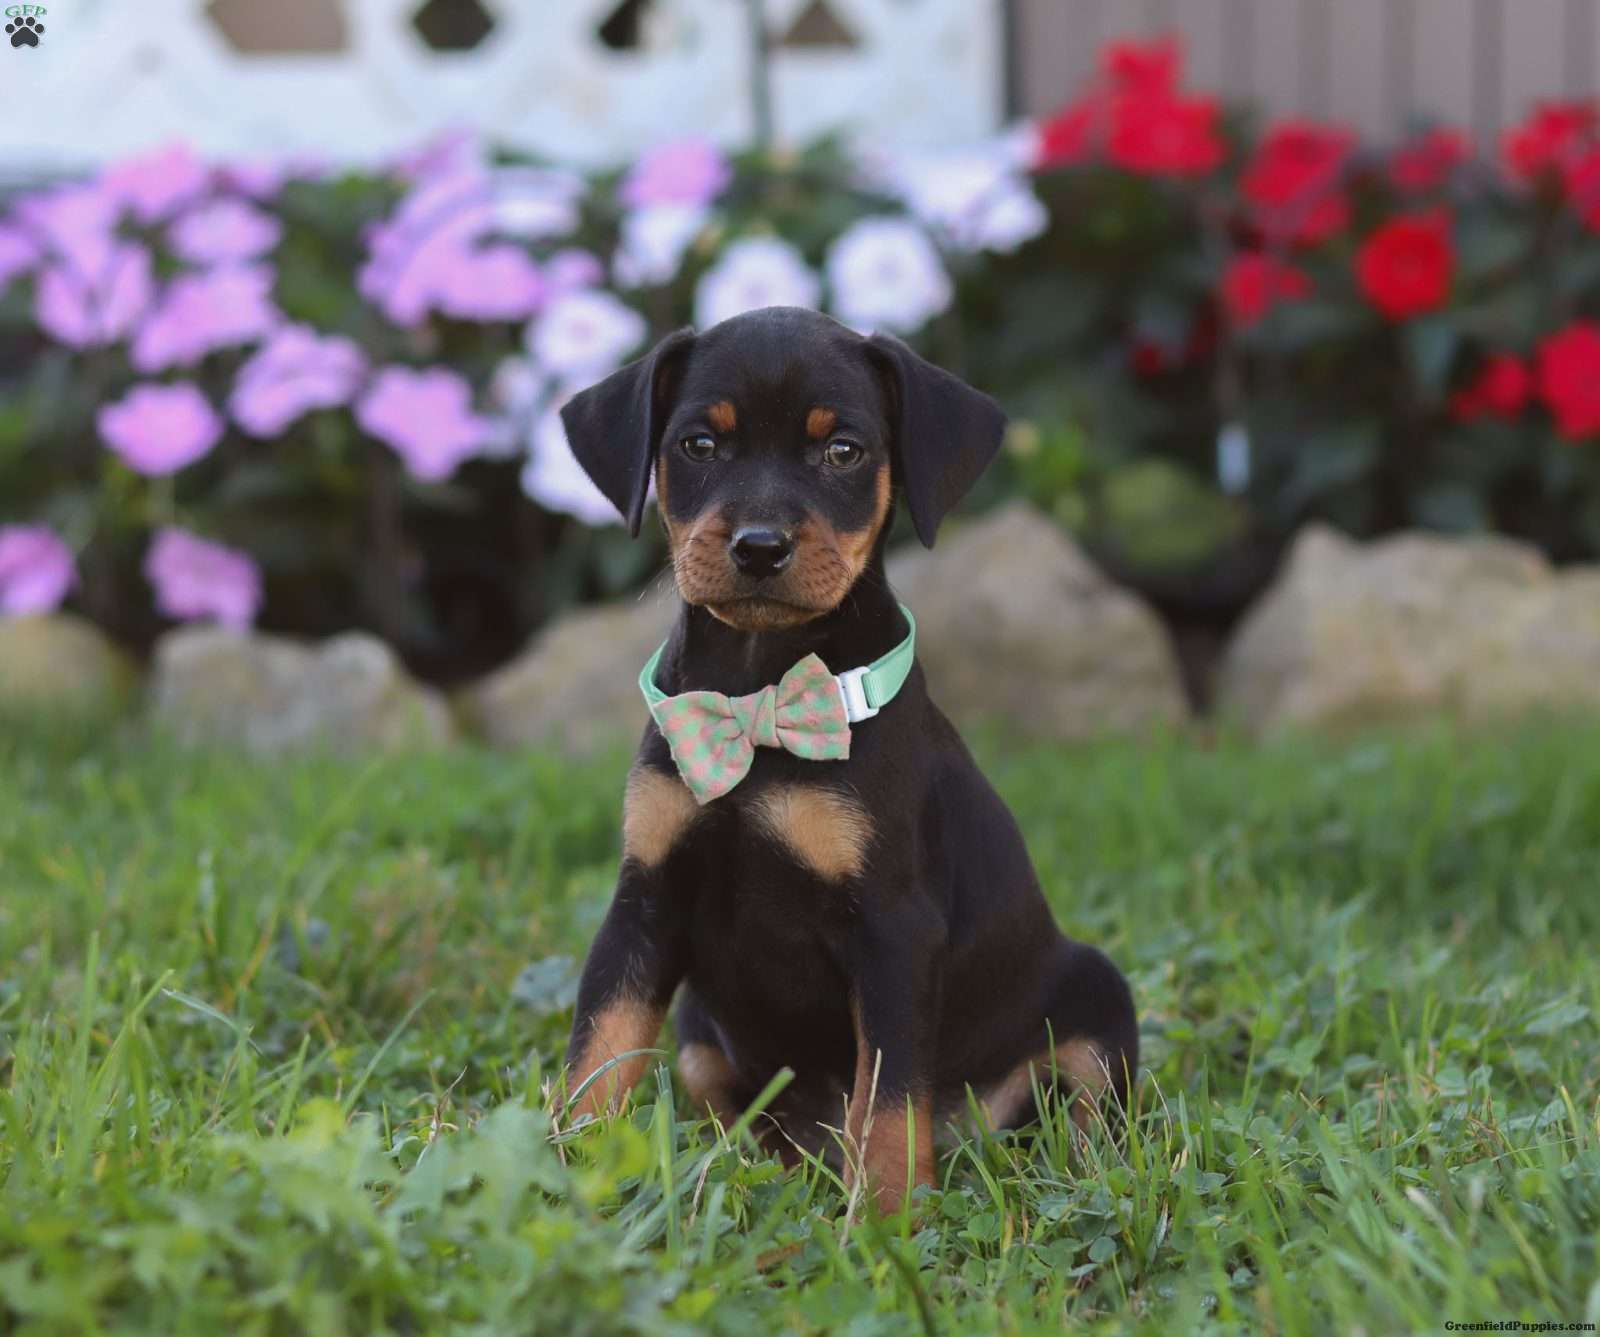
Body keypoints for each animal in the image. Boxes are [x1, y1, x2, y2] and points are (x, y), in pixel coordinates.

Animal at [558, 306, 1137, 1212]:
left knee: (1080, 1110)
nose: (760, 547)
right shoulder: (644, 899)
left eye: (843, 451)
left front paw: (887, 1218)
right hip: (699, 1033)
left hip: (1096, 992)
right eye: (698, 444)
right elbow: (599, 1049)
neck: (760, 691)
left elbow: (890, 1096)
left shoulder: (896, 926)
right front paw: (563, 1169)